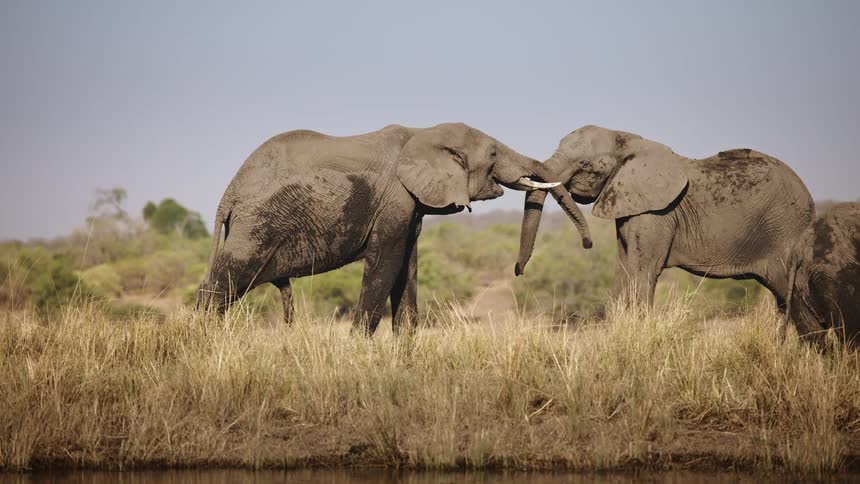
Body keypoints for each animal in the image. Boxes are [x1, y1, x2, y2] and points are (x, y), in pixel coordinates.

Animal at [197, 122, 593, 335]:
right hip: (257, 225)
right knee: (223, 283)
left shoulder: (411, 209)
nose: (518, 270)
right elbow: (385, 267)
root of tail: (230, 191)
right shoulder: (394, 201)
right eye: (494, 155)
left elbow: (407, 271)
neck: (423, 132)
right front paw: (358, 353)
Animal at [515, 125, 815, 314]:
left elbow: (643, 271)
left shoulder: (658, 213)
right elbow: (624, 272)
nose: (518, 271)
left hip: (785, 230)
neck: (628, 138)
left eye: (587, 165)